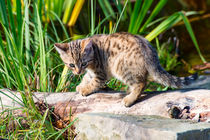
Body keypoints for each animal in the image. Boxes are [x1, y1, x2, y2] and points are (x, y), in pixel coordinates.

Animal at [54, 32, 197, 106]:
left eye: (83, 63)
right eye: (71, 65)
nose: (78, 71)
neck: (94, 52)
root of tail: (151, 54)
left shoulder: (101, 72)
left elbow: (95, 82)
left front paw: (85, 89)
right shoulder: (91, 72)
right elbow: (87, 77)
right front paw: (81, 85)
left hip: (120, 66)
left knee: (141, 83)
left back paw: (129, 99)